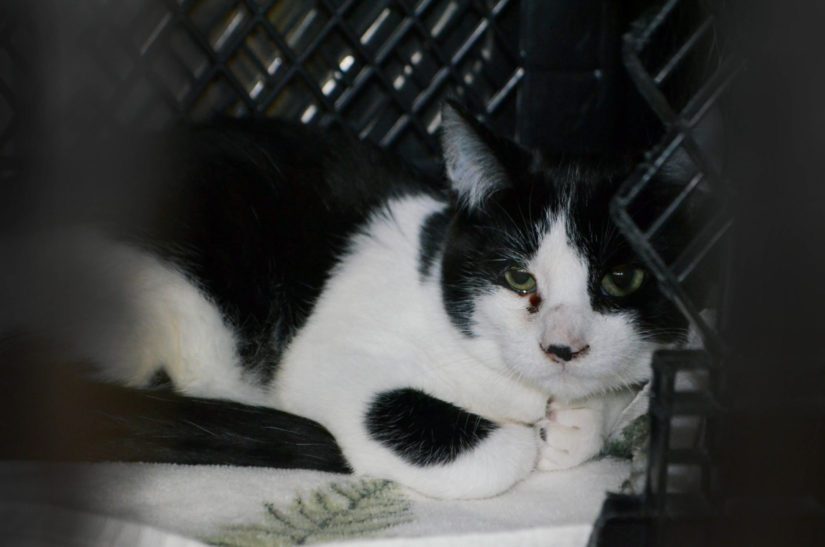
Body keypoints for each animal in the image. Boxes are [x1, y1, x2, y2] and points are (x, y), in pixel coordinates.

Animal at [0, 104, 692, 500]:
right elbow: (489, 451)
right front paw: (535, 441)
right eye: (519, 278)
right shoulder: (330, 352)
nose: (562, 347)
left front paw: (574, 426)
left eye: (622, 280)